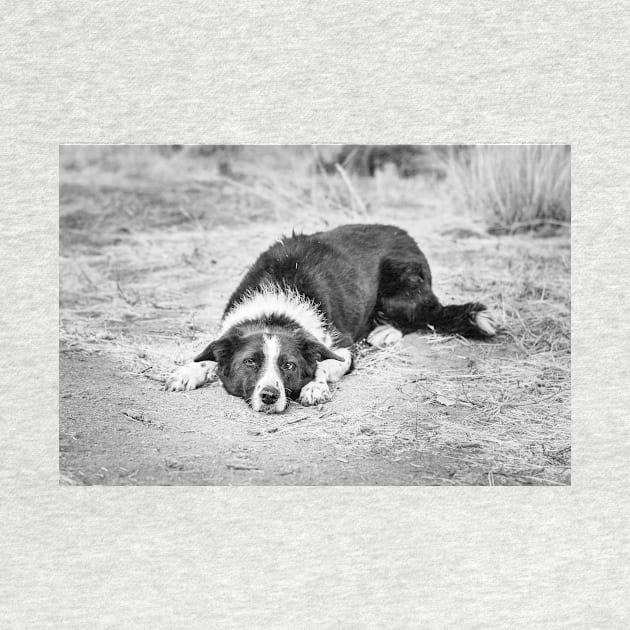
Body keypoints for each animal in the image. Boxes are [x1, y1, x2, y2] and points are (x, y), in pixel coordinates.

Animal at [167, 223, 498, 414]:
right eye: (249, 362)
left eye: (288, 365)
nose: (270, 396)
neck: (275, 308)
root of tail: (407, 236)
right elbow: (206, 355)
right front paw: (189, 371)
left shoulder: (343, 346)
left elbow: (325, 364)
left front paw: (315, 386)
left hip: (401, 289)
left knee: (420, 316)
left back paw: (385, 331)